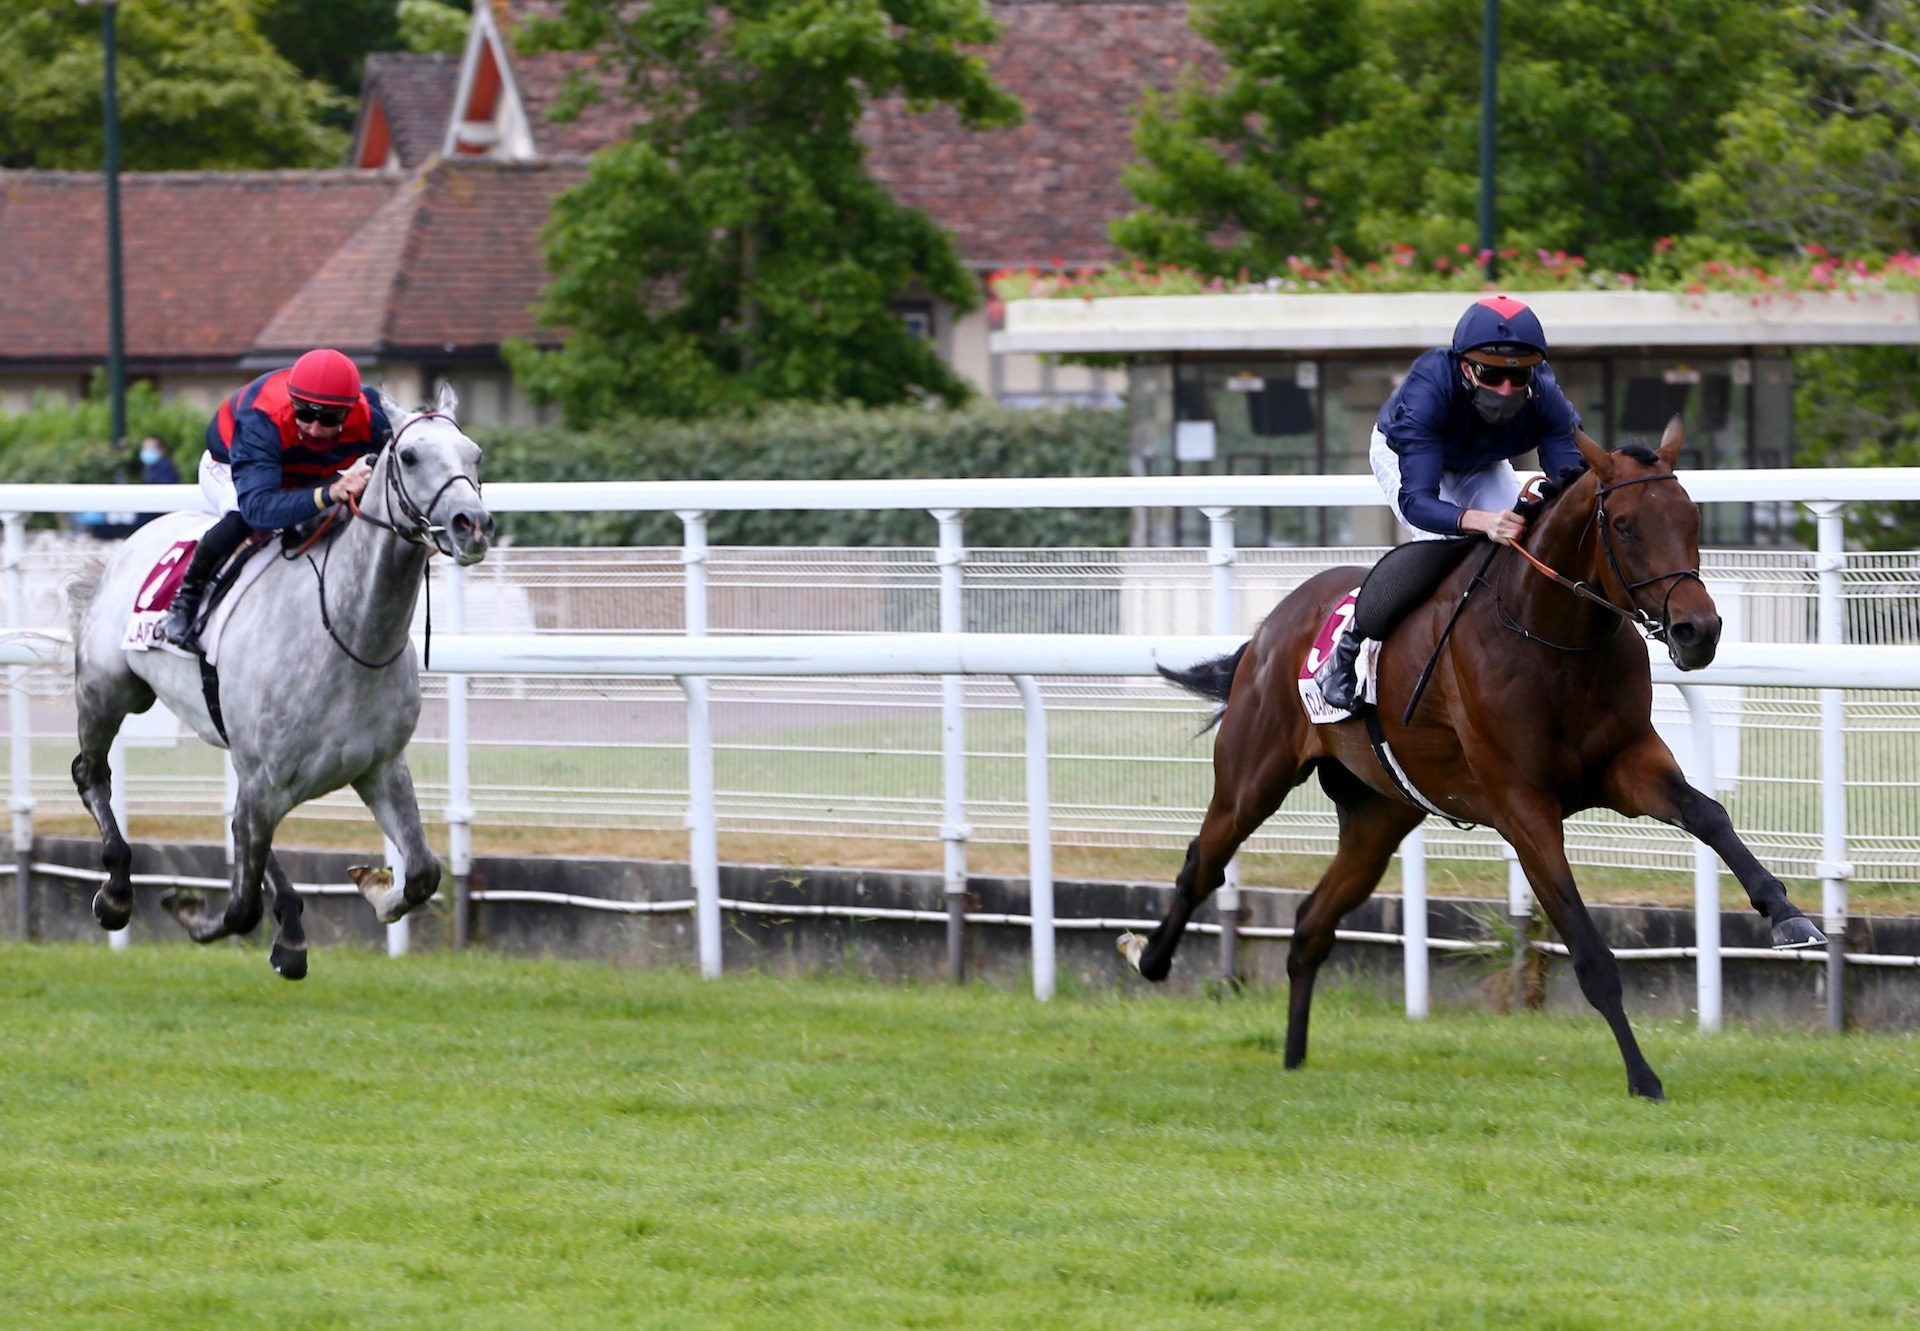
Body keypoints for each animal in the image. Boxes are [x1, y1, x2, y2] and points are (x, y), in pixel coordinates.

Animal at [70, 384, 495, 975]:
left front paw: (373, 885)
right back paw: (114, 891)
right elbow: (240, 907)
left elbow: (423, 873)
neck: (347, 634)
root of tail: (131, 542)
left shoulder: (378, 767)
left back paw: (291, 925)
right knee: (90, 772)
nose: (471, 525)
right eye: (410, 457)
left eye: (474, 455)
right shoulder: (265, 779)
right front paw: (188, 910)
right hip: (109, 690)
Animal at [1128, 420, 1820, 1098]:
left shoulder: (1627, 764)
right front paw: (1643, 1078)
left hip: (1377, 817)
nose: (1697, 631)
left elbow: (1709, 816)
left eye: (1691, 518)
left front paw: (1787, 914)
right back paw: (1152, 958)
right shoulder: (1524, 808)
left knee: (1308, 926)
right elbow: (1589, 953)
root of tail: (1268, 630)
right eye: (1625, 526)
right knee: (1203, 863)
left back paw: (1294, 1059)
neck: (1553, 638)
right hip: (1253, 775)